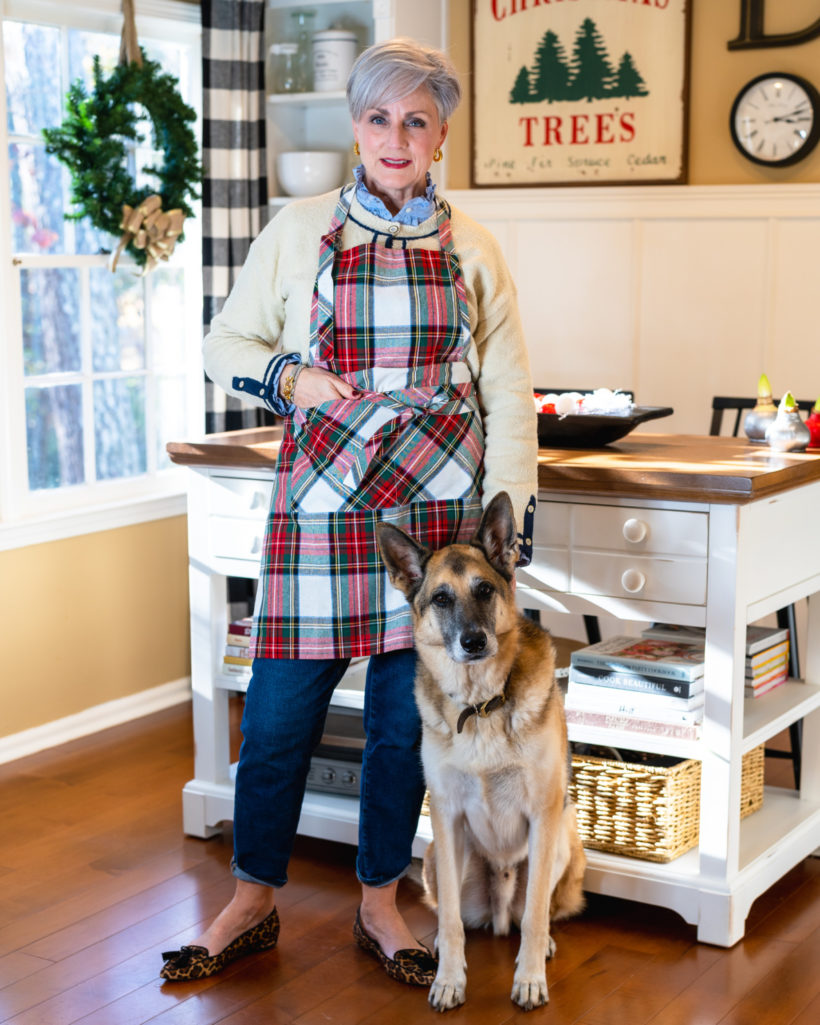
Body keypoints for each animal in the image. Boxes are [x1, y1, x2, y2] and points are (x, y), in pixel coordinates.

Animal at [375, 492, 586, 1012]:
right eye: (441, 599)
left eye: (485, 590)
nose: (473, 643)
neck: (481, 703)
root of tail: (498, 905)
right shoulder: (447, 816)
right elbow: (450, 919)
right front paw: (449, 979)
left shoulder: (543, 815)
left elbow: (535, 916)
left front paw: (528, 980)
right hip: (437, 856)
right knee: (459, 916)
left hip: (561, 843)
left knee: (534, 911)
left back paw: (540, 945)